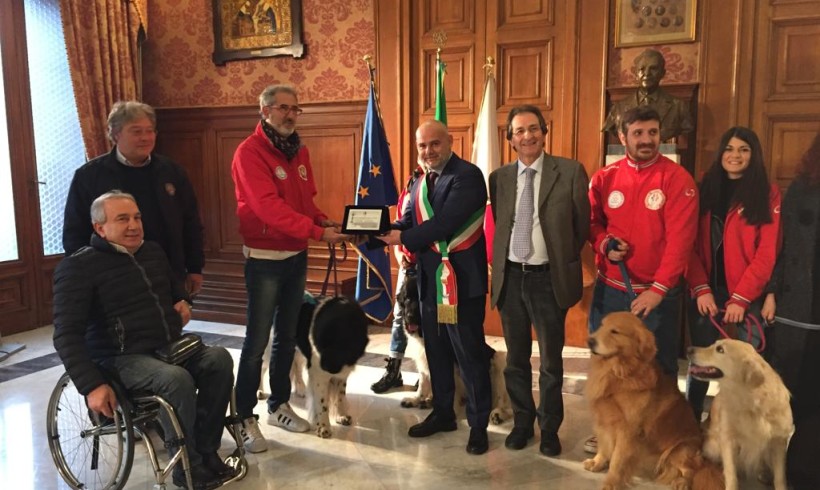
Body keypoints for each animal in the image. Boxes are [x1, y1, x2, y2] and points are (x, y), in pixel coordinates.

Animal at [394, 274, 510, 424]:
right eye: (407, 299)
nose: (409, 316)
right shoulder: (424, 363)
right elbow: (423, 385)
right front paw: (416, 399)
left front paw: (447, 415)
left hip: (499, 360)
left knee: (505, 403)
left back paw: (498, 413)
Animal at [584, 314, 724, 490]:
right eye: (601, 326)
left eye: (615, 331)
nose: (589, 341)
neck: (619, 373)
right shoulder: (604, 419)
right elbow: (604, 446)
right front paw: (597, 462)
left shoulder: (628, 430)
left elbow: (617, 460)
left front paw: (612, 482)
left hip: (680, 450)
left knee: (691, 470)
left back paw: (682, 482)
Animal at [688, 338, 792, 490]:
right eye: (714, 344)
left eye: (720, 349)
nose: (688, 349)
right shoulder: (728, 439)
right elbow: (731, 473)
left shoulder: (778, 441)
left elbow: (780, 477)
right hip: (713, 445)